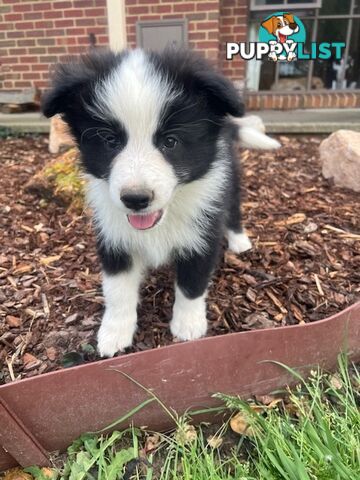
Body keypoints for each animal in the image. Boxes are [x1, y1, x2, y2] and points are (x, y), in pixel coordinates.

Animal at [43, 48, 276, 356]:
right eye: (110, 141)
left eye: (170, 141)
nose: (135, 199)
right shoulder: (113, 235)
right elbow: (117, 289)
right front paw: (114, 333)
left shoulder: (203, 232)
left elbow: (192, 283)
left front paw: (188, 325)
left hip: (231, 178)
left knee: (234, 208)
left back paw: (240, 241)